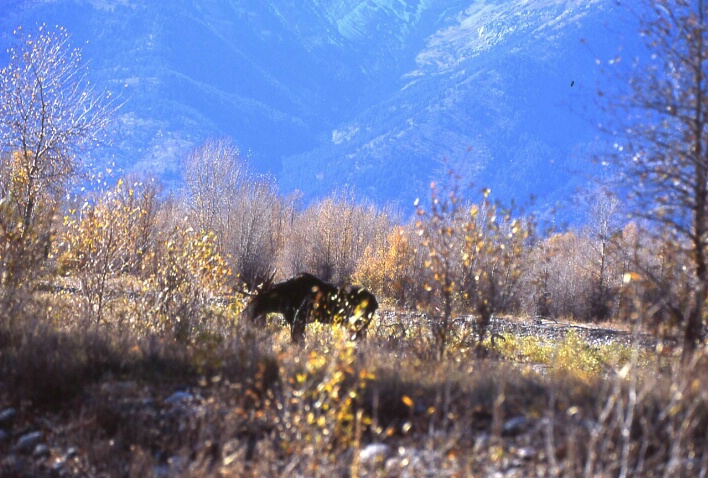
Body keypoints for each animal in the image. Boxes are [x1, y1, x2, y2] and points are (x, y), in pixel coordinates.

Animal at [241, 270, 378, 342]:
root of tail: (376, 303)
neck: (284, 300)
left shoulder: (299, 319)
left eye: (256, 299)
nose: (244, 313)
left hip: (359, 323)